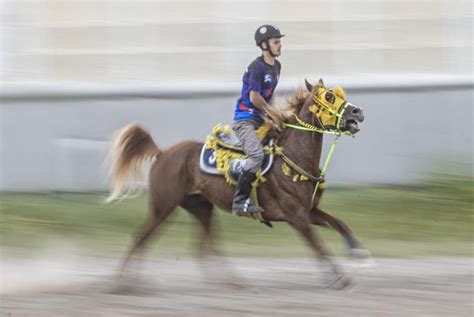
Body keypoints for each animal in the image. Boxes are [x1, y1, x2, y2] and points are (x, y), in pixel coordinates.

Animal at [106, 78, 366, 288]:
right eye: (329, 97)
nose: (357, 111)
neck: (292, 156)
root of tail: (162, 154)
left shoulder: (308, 211)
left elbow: (340, 224)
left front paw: (357, 251)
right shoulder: (296, 216)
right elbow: (317, 245)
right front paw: (338, 277)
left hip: (201, 208)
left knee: (203, 246)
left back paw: (231, 281)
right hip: (163, 206)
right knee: (140, 237)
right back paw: (122, 282)